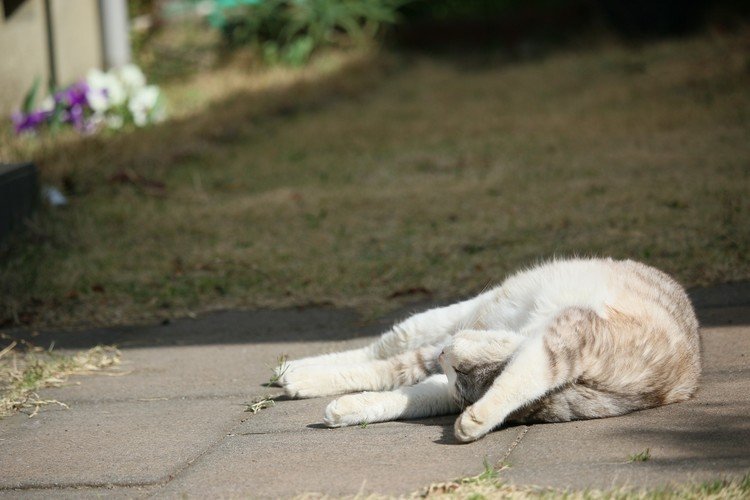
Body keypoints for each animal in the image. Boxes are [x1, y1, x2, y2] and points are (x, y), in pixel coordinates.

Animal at [278, 258, 704, 442]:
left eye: (457, 374)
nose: (444, 358)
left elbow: (406, 398)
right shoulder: (568, 337)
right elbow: (523, 375)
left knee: (390, 368)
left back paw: (299, 378)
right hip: (442, 319)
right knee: (381, 351)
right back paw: (291, 370)